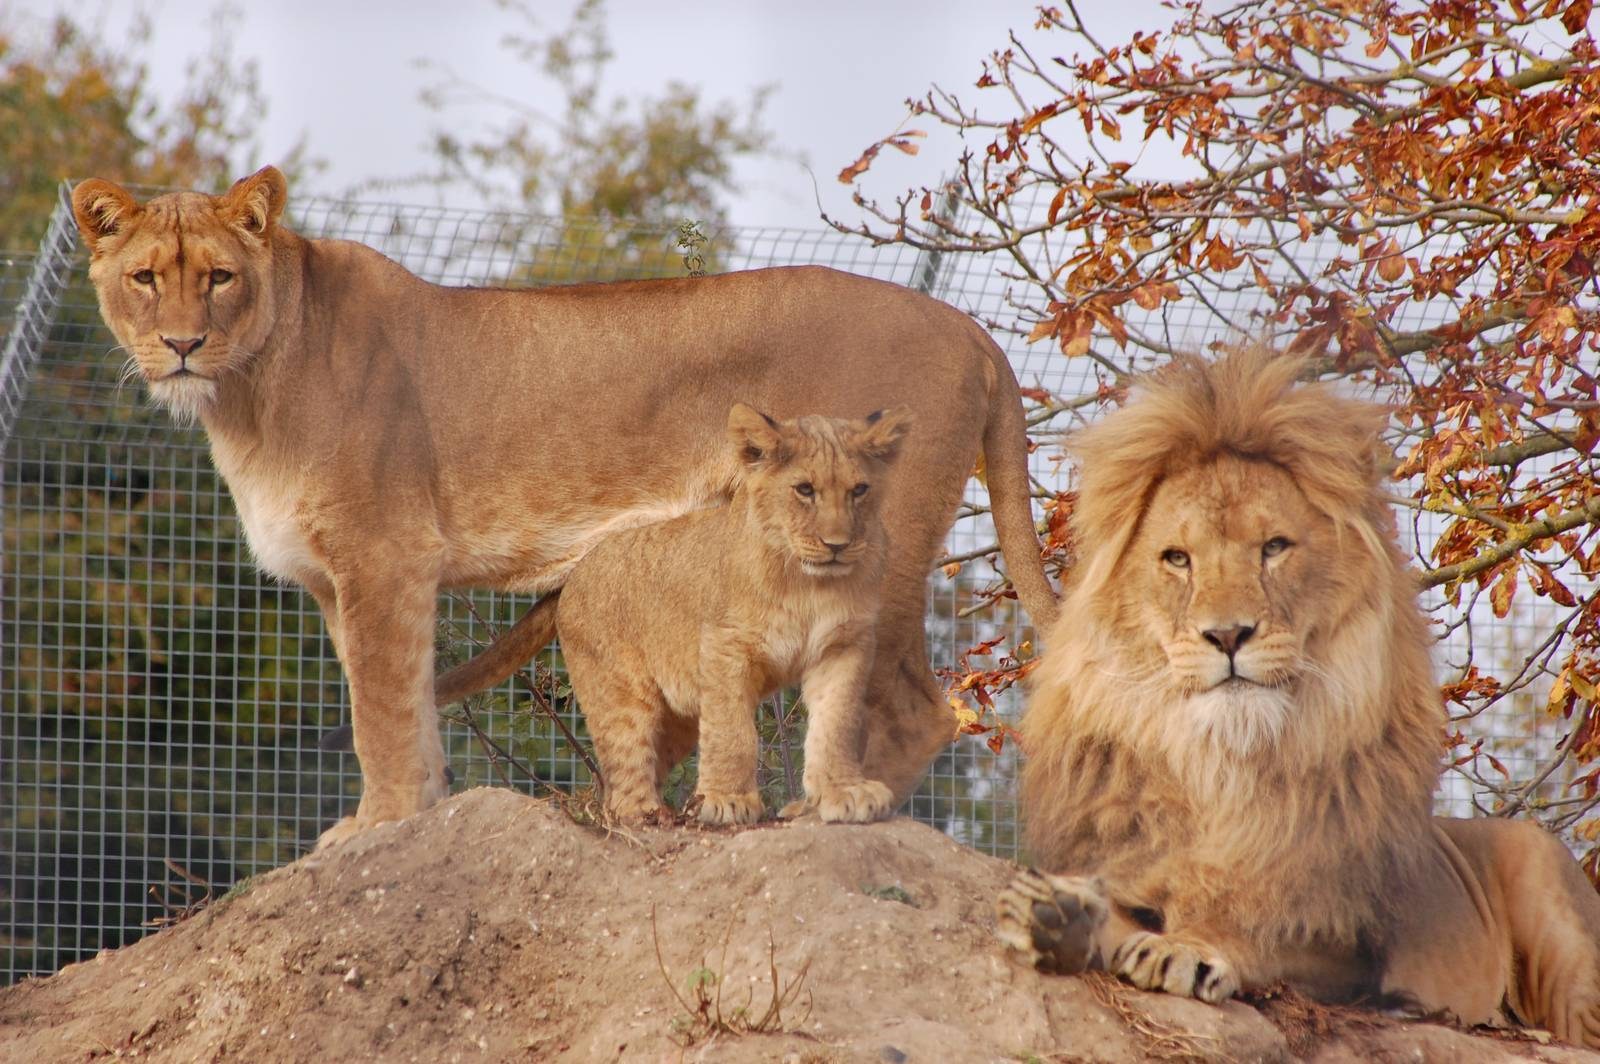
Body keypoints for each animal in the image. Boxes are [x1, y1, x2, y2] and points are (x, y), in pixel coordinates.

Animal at [72, 166, 1062, 844]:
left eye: (220, 277)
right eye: (147, 278)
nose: (182, 345)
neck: (244, 398)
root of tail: (970, 328)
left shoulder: (387, 555)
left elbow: (381, 711)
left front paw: (380, 824)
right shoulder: (339, 582)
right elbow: (391, 704)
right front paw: (412, 812)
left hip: (867, 549)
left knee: (918, 707)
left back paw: (823, 808)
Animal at [998, 348, 1600, 1043]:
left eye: (1274, 548)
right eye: (1177, 559)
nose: (1227, 634)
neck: (1224, 766)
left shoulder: (1347, 948)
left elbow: (1257, 928)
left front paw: (1187, 947)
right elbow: (1119, 905)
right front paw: (1058, 914)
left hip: (1551, 899)